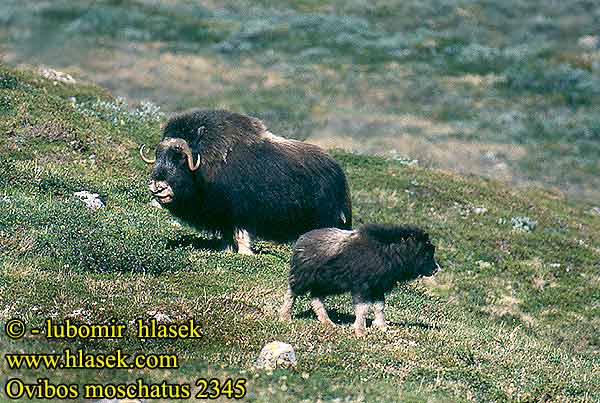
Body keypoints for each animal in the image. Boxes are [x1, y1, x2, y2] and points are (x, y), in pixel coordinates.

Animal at [140, 109, 352, 256]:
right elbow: (227, 234)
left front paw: (244, 253)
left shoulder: (240, 210)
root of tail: (338, 172)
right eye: (158, 155)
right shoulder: (222, 214)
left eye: (180, 158)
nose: (157, 186)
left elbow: (241, 233)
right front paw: (225, 251)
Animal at [278, 226, 438, 336]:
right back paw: (285, 317)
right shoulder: (362, 287)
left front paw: (382, 326)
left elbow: (380, 306)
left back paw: (328, 322)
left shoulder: (377, 287)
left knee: (316, 298)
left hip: (325, 284)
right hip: (303, 277)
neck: (390, 252)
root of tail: (301, 240)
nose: (436, 269)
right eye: (426, 252)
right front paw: (360, 331)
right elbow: (363, 308)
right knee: (292, 293)